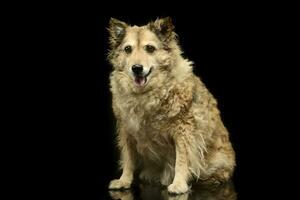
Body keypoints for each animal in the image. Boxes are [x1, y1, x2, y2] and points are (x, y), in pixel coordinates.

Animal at [106, 17, 236, 194]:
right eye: (127, 49)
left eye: (150, 48)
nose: (137, 68)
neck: (146, 94)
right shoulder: (127, 131)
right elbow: (128, 158)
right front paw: (124, 180)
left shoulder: (184, 130)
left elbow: (181, 160)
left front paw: (179, 184)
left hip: (219, 160)